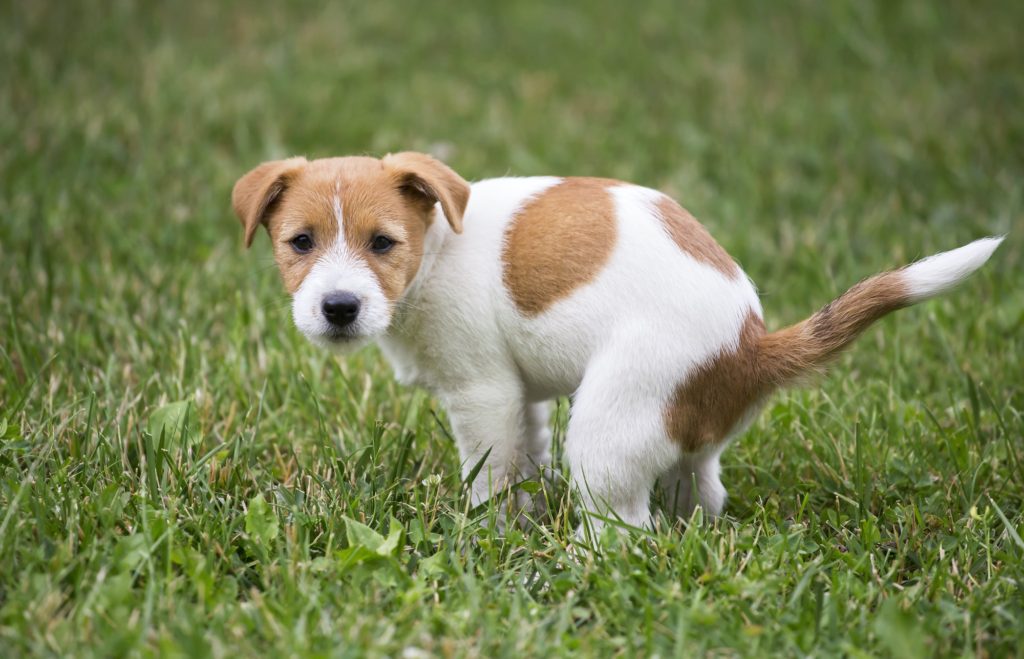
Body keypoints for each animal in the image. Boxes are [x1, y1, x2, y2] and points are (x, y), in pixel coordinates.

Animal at [232, 153, 999, 536]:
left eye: (383, 243)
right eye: (300, 242)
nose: (338, 308)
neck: (438, 246)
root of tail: (751, 345)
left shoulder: (482, 393)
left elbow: (491, 475)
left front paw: (490, 535)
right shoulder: (520, 398)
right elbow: (525, 459)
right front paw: (522, 519)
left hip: (607, 429)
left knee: (627, 529)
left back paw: (580, 559)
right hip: (679, 431)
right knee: (699, 492)